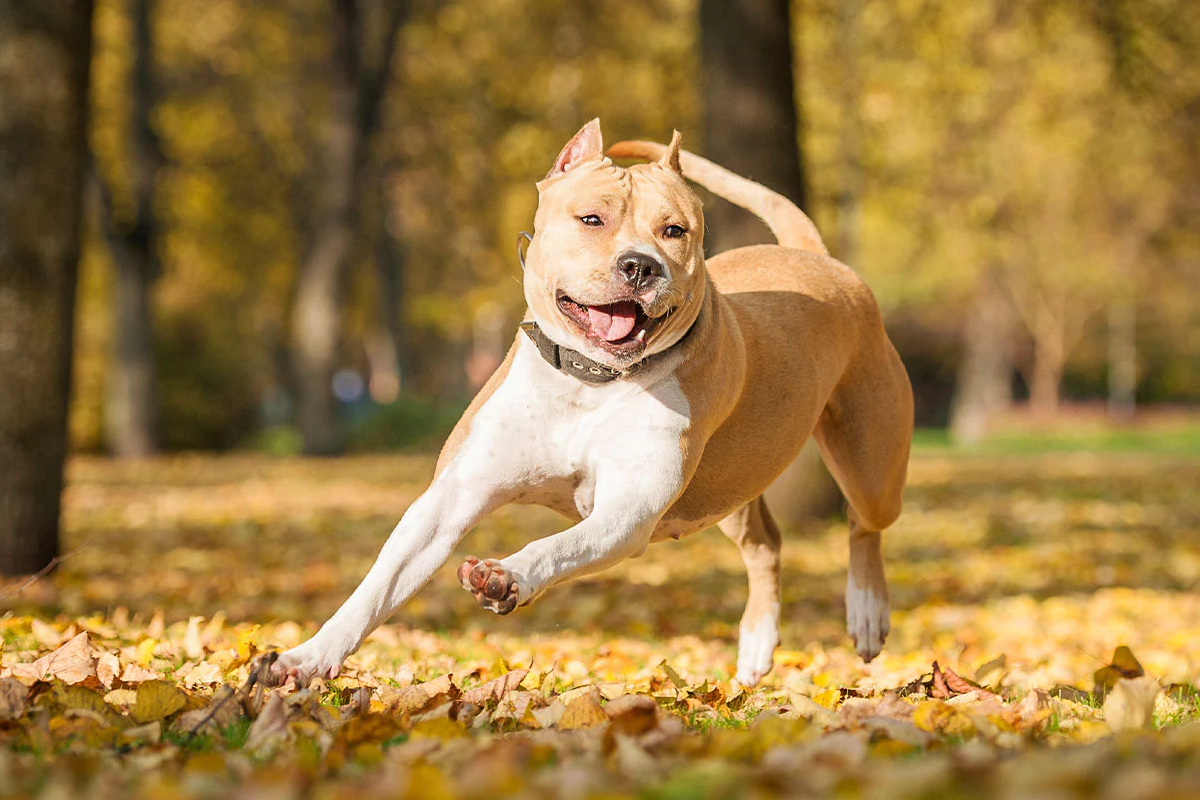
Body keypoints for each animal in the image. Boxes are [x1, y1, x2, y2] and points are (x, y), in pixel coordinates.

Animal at [272, 118, 907, 690]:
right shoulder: (452, 498)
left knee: (862, 523)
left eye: (674, 230)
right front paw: (308, 657)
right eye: (591, 219)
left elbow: (557, 546)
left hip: (870, 464)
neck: (589, 381)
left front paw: (506, 576)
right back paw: (756, 644)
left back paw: (866, 611)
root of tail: (816, 257)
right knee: (765, 542)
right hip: (729, 484)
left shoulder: (626, 509)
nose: (640, 264)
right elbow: (377, 586)